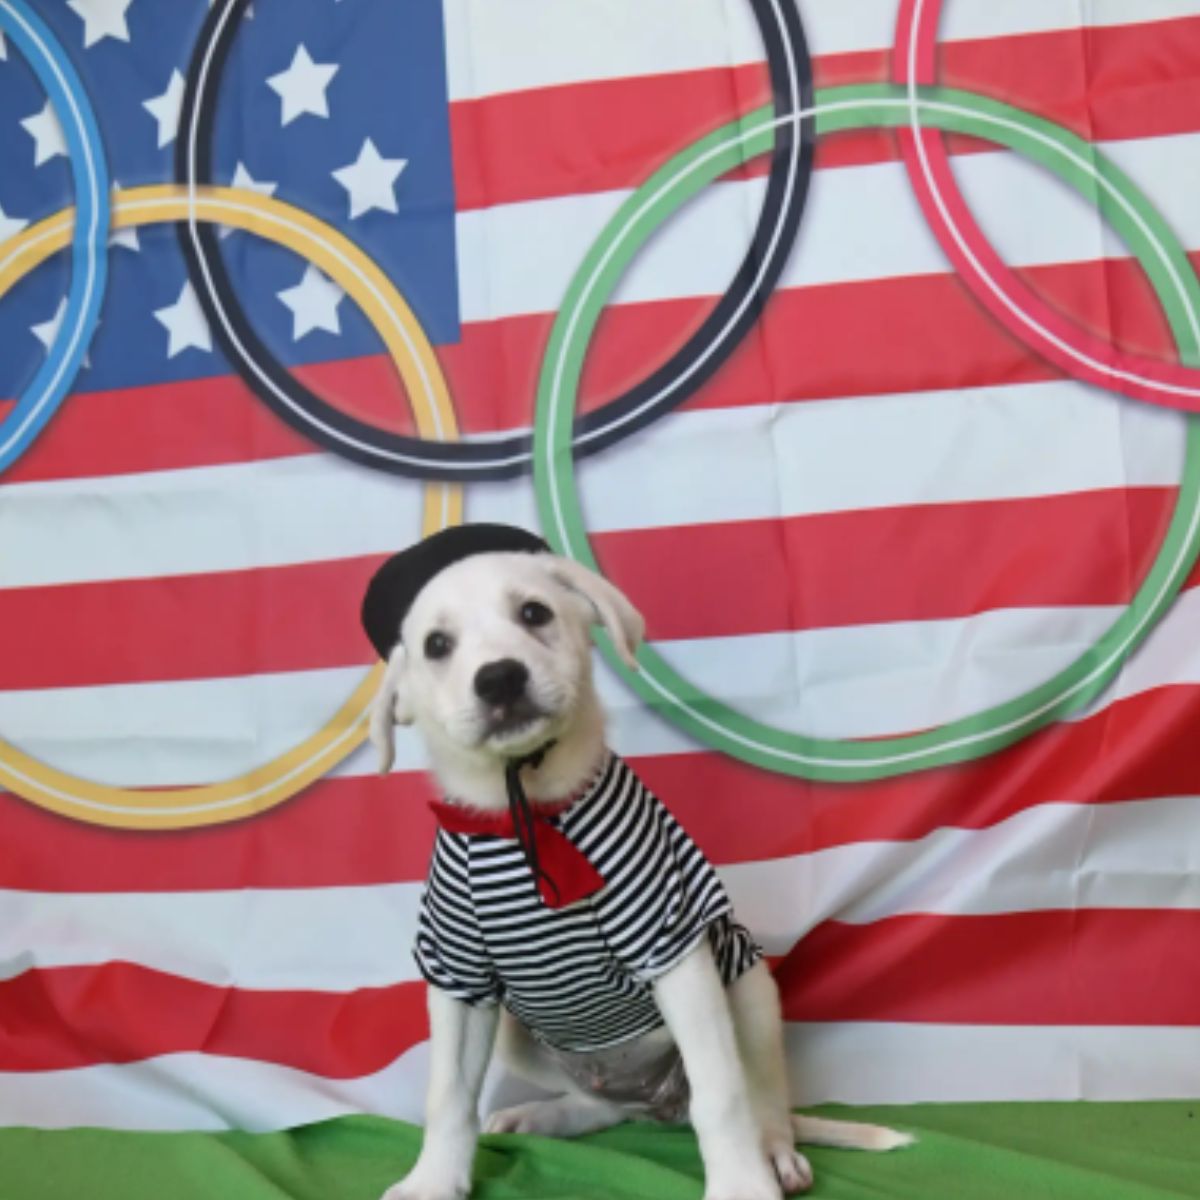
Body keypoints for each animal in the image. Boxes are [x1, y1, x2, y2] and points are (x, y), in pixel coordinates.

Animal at [364, 530, 907, 1200]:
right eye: (437, 645)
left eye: (534, 613)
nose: (499, 679)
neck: (527, 810)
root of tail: (657, 1103)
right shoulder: (459, 979)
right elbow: (447, 1098)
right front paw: (432, 1181)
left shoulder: (674, 952)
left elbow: (723, 1095)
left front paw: (742, 1185)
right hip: (523, 1038)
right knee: (607, 1108)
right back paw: (541, 1116)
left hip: (750, 990)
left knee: (759, 1098)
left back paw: (776, 1155)